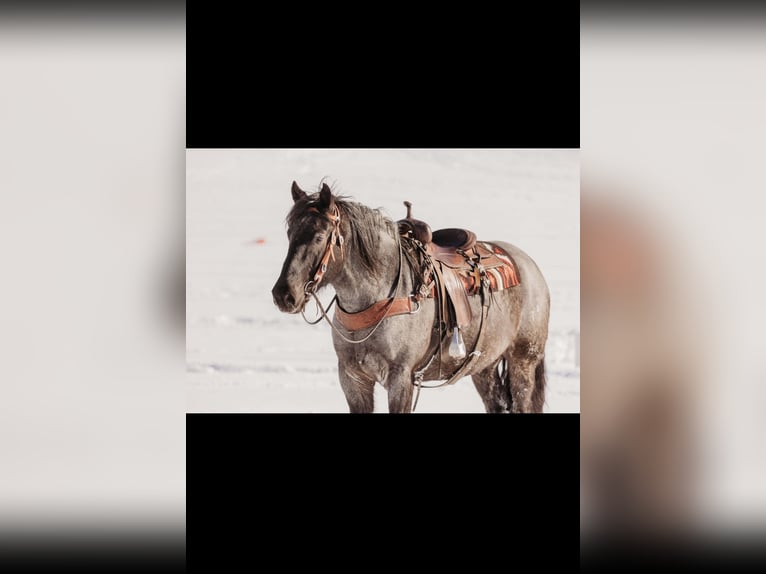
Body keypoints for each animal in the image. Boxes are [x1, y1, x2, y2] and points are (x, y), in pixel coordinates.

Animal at [271, 181, 551, 413]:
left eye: (319, 236)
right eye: (289, 234)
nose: (283, 295)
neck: (374, 300)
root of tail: (529, 265)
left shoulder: (401, 378)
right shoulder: (353, 378)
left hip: (523, 361)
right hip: (484, 366)